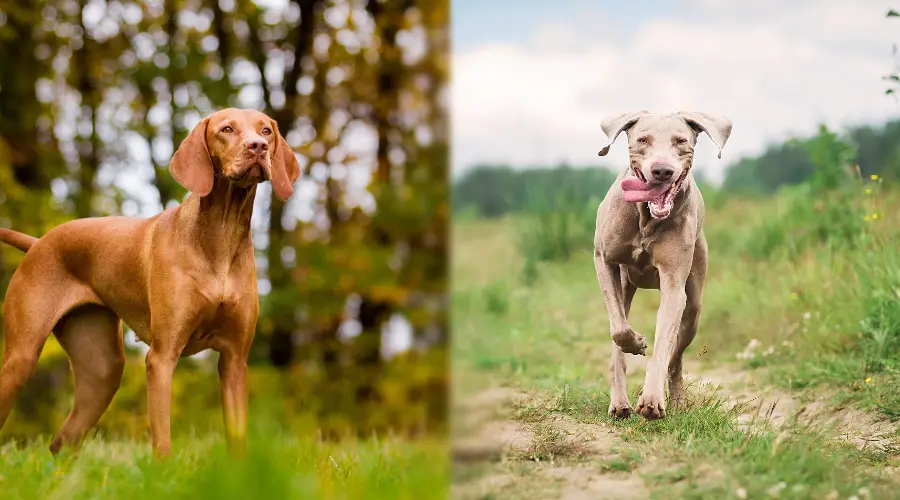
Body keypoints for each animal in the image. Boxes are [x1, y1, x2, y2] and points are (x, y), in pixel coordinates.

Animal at [0, 109, 302, 458]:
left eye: (266, 131)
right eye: (227, 129)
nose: (258, 147)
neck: (222, 236)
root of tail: (38, 243)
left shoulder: (235, 361)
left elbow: (237, 438)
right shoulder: (161, 357)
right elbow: (162, 439)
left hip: (102, 369)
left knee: (62, 441)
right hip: (21, 359)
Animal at [596, 111, 736, 420]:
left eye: (681, 141)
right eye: (643, 140)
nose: (662, 171)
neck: (646, 218)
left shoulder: (673, 285)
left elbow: (663, 346)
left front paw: (651, 399)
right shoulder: (604, 259)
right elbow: (619, 330)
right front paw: (637, 343)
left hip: (694, 304)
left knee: (676, 355)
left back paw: (677, 398)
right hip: (625, 284)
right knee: (618, 335)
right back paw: (619, 401)